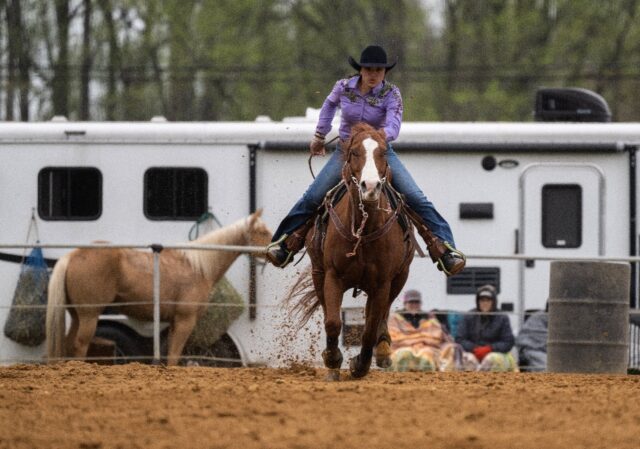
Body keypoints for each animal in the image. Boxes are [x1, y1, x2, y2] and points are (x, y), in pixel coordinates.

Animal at [45, 209, 272, 364]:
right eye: (262, 232)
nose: (277, 252)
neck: (198, 265)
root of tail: (73, 255)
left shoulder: (173, 322)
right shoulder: (185, 320)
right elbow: (174, 355)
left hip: (77, 316)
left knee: (68, 342)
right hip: (89, 315)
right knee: (80, 344)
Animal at [292, 122, 412, 378]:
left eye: (383, 153)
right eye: (355, 152)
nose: (371, 187)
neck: (363, 231)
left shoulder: (382, 283)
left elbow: (370, 329)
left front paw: (360, 365)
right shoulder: (332, 276)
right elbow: (333, 322)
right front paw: (333, 359)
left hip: (399, 278)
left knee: (381, 315)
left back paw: (383, 350)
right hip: (318, 273)